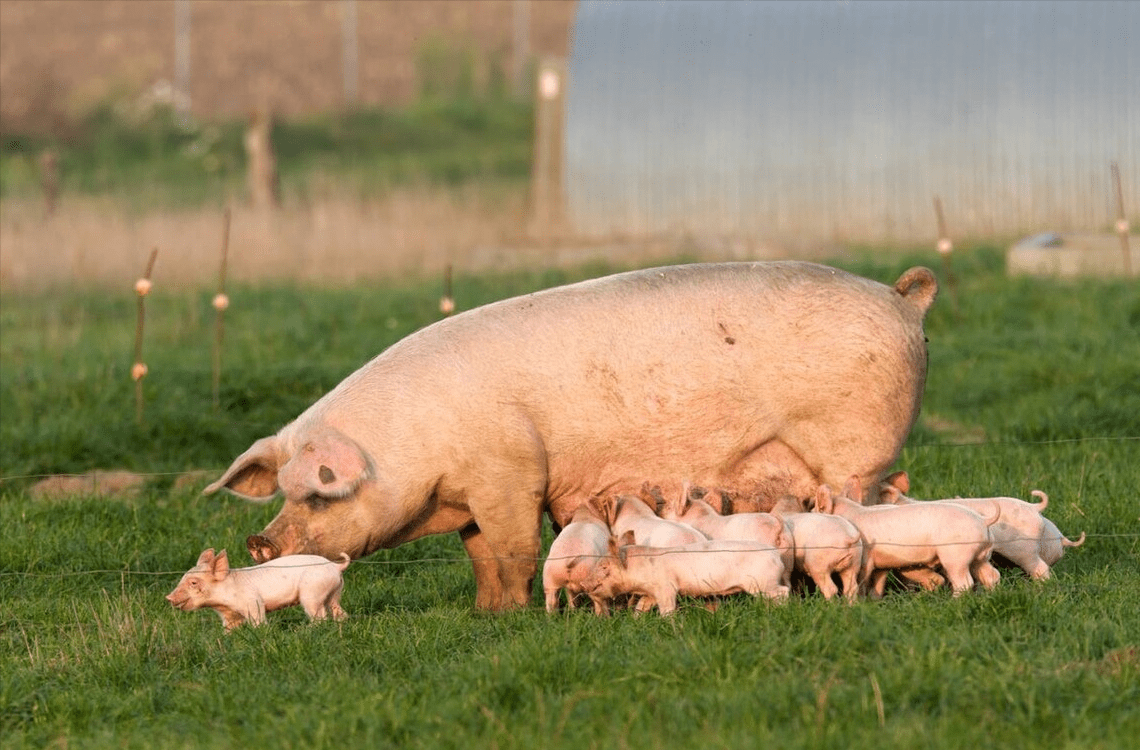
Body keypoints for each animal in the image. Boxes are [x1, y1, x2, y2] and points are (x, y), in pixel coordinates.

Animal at [205, 259, 934, 610]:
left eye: (318, 494)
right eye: (284, 493)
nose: (261, 542)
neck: (418, 450)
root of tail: (900, 296)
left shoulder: (510, 472)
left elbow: (513, 550)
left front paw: (512, 613)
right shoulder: (474, 495)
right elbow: (479, 555)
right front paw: (487, 613)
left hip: (855, 445)